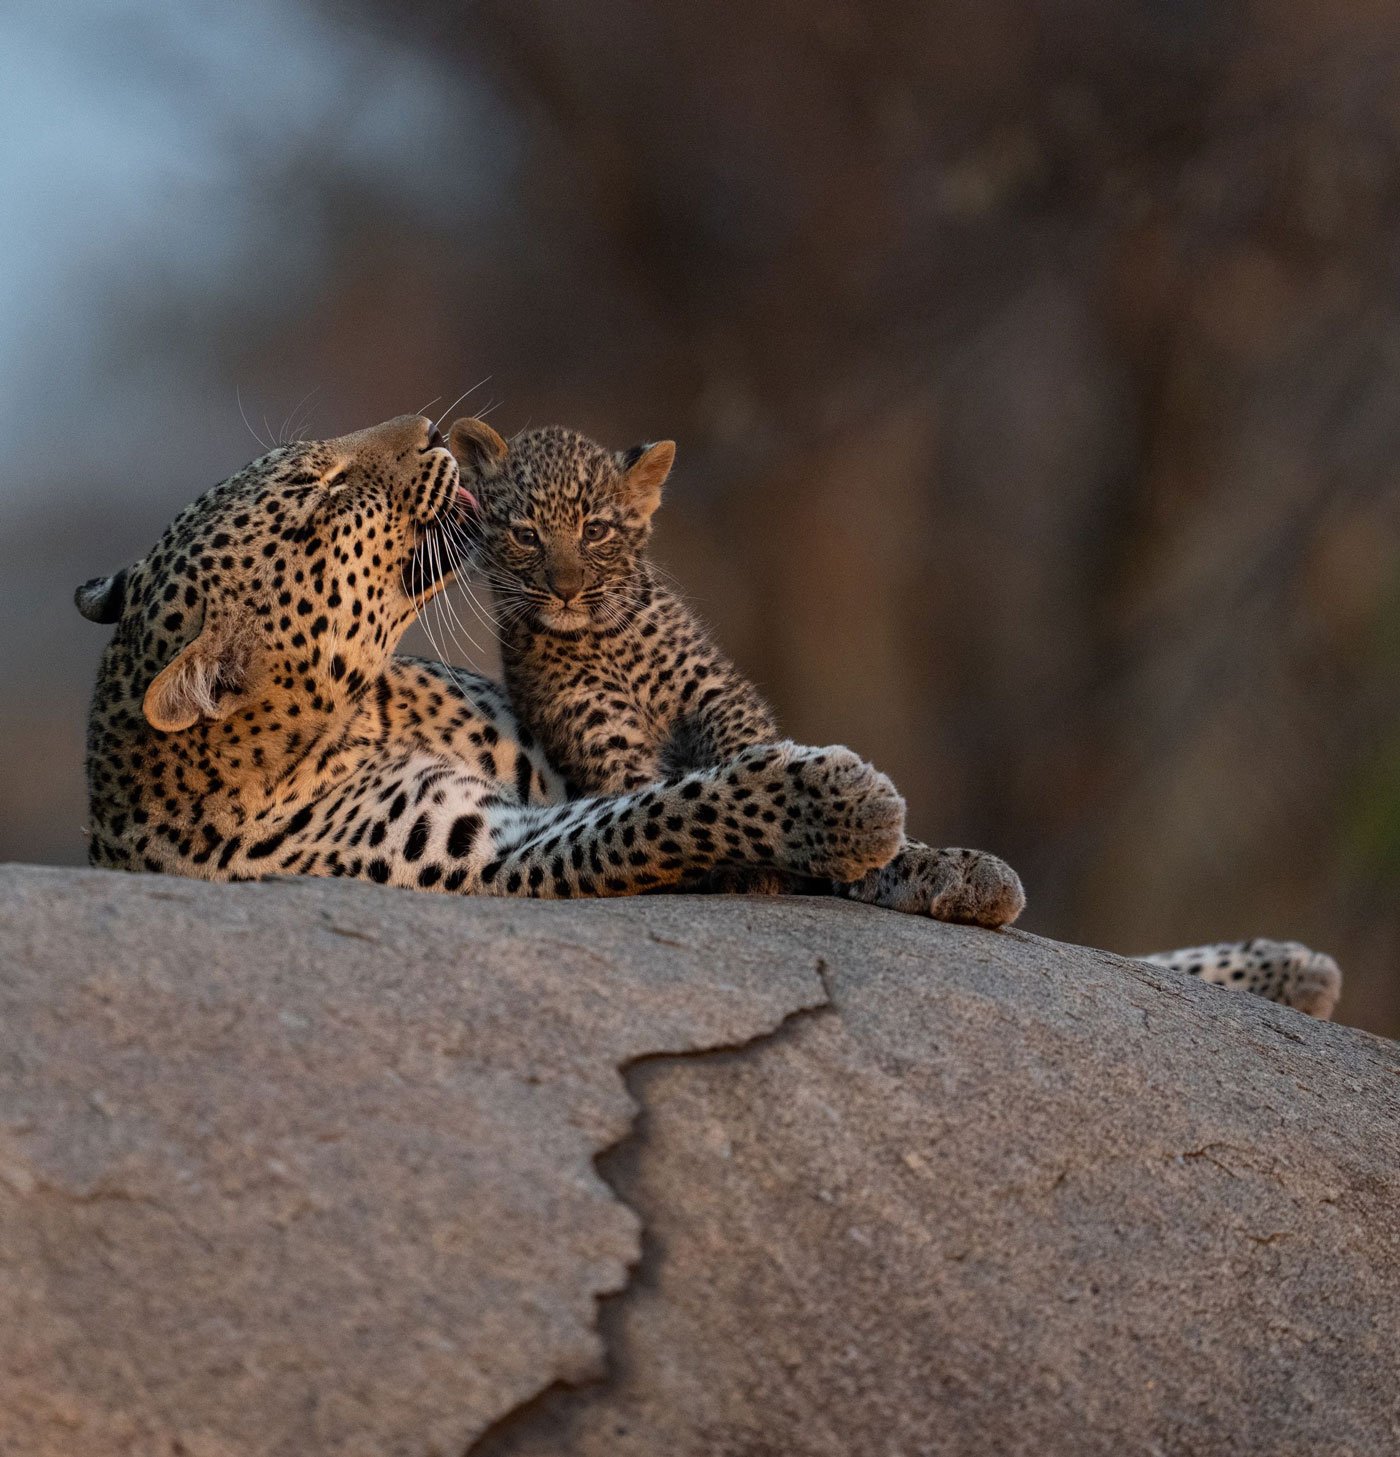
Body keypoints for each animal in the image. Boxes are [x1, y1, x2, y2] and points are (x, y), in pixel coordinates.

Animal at [74, 414, 931, 906]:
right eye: (324, 495)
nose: (427, 426)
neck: (351, 720)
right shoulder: (489, 847)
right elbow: (662, 810)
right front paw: (843, 803)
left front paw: (932, 866)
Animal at [447, 415, 1342, 1019]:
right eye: (525, 534)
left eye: (595, 529)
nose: (565, 589)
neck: (606, 637)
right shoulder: (607, 745)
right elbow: (671, 803)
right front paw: (764, 854)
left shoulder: (716, 693)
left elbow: (755, 753)